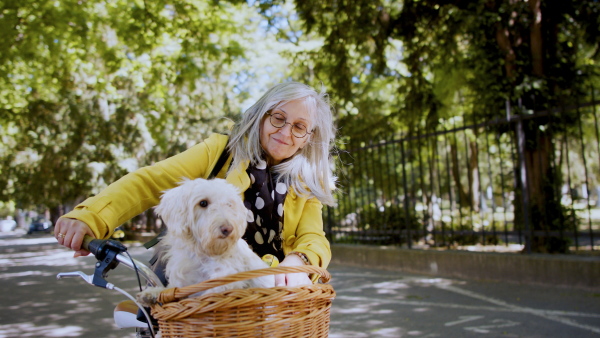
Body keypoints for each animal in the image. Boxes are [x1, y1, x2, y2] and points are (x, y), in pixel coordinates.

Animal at [137, 177, 274, 306]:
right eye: (203, 203)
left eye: (229, 204)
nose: (228, 229)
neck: (202, 253)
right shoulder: (183, 281)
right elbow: (171, 289)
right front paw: (153, 293)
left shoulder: (226, 278)